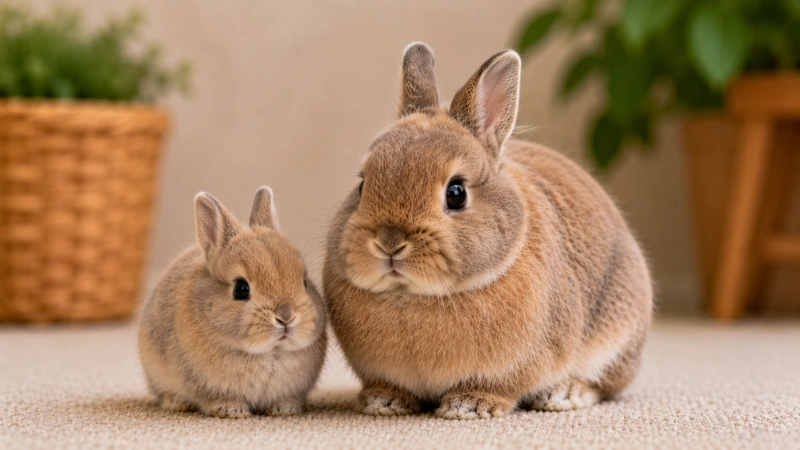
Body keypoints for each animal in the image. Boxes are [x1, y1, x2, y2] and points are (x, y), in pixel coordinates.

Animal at [139, 186, 327, 418]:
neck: (270, 352)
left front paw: (284, 409)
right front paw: (232, 411)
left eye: (304, 282)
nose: (286, 318)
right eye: (241, 289)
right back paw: (176, 402)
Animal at [323, 43, 653, 420]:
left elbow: (500, 387)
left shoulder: (517, 366)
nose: (389, 243)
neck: (411, 296)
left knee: (604, 384)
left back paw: (564, 394)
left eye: (456, 193)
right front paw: (384, 402)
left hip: (617, 339)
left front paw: (469, 405)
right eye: (363, 185)